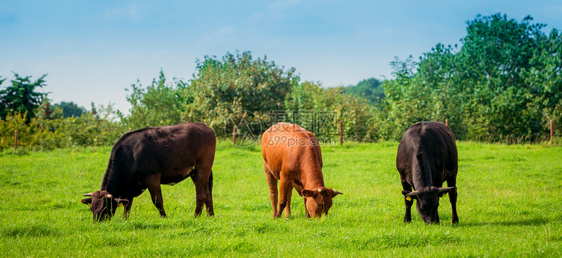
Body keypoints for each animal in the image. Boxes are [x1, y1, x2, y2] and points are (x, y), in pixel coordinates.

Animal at [81, 122, 214, 222]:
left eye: (105, 207)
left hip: (202, 169)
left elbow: (157, 200)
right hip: (196, 173)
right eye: (91, 208)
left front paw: (164, 217)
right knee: (207, 192)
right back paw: (210, 215)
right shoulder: (130, 186)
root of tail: (204, 125)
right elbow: (127, 204)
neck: (130, 154)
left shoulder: (152, 177)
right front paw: (125, 219)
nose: (97, 223)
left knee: (200, 194)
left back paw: (196, 216)